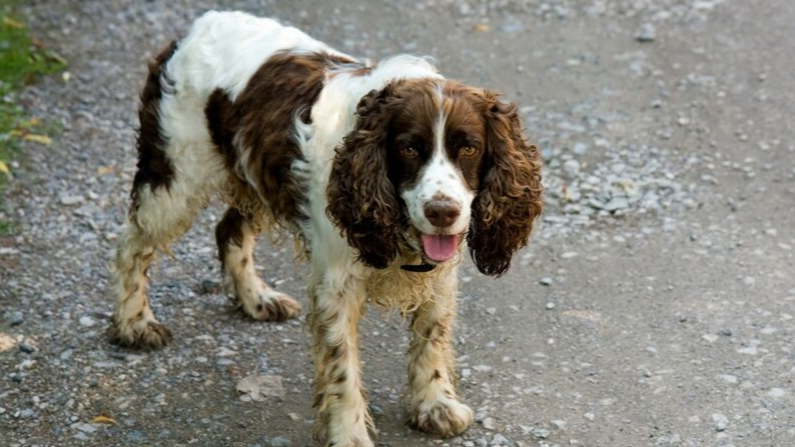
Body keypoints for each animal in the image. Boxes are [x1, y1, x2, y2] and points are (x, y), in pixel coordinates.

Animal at [109, 11, 544, 447]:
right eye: (408, 148)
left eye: (469, 148)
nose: (442, 211)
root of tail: (195, 26)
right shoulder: (337, 285)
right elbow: (341, 368)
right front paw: (349, 433)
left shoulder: (439, 275)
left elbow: (431, 337)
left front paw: (434, 406)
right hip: (175, 179)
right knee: (131, 245)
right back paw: (134, 324)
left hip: (255, 174)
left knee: (228, 229)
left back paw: (257, 299)